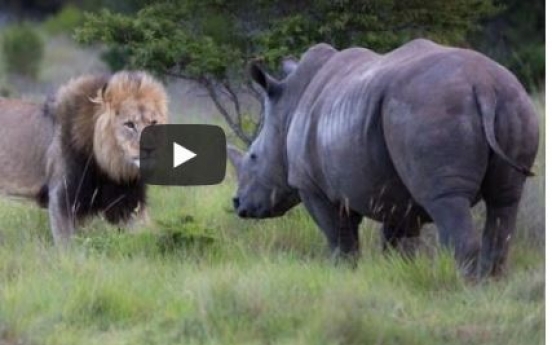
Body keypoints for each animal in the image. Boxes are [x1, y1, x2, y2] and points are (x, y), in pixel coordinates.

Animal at [0, 70, 168, 245]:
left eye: (153, 122)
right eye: (129, 124)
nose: (151, 148)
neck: (111, 167)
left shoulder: (128, 201)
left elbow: (147, 236)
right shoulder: (63, 198)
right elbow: (67, 244)